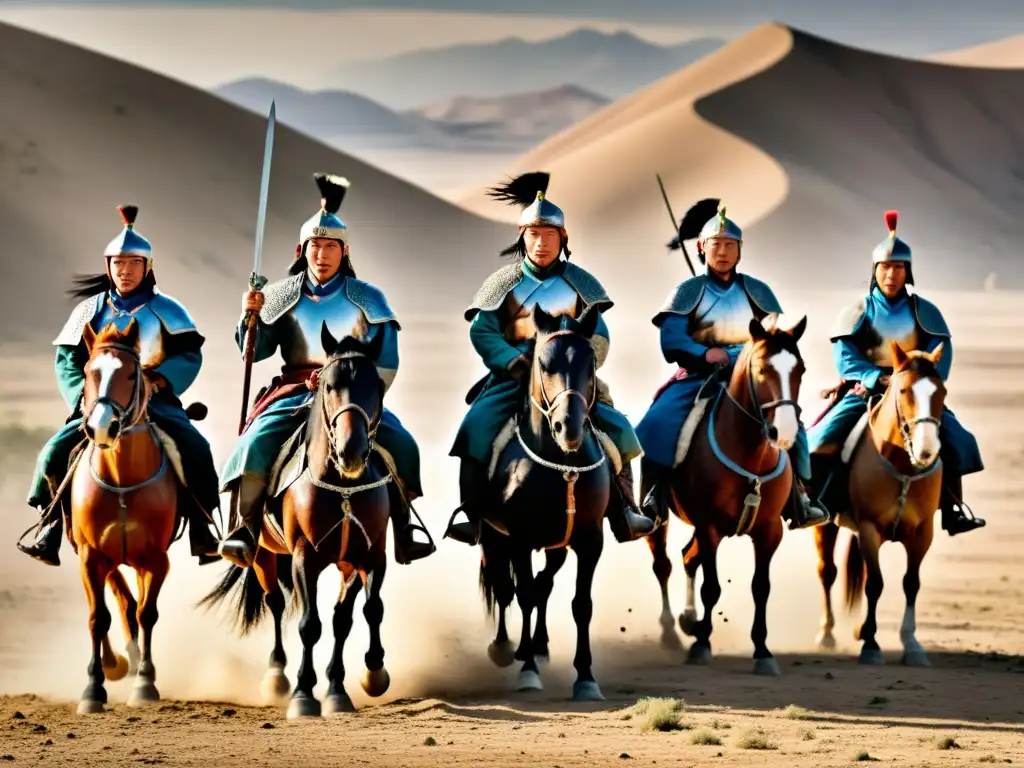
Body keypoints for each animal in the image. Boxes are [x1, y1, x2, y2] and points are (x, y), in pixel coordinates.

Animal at [73, 319, 185, 716]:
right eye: (88, 372)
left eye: (130, 374)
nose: (102, 427)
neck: (122, 480)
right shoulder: (91, 557)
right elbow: (97, 616)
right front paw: (93, 687)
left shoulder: (155, 559)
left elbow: (146, 613)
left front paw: (145, 683)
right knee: (119, 602)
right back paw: (115, 662)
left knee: (132, 605)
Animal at [203, 327, 399, 720]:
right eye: (329, 385)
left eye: (376, 387)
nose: (352, 451)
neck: (342, 484)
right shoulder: (304, 557)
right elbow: (310, 625)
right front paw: (304, 694)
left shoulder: (368, 556)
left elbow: (360, 613)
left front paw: (359, 680)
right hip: (263, 554)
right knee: (275, 602)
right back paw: (277, 677)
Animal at [477, 303, 610, 700]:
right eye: (544, 364)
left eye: (589, 365)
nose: (569, 427)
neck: (562, 466)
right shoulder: (518, 539)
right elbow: (522, 594)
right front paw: (527, 672)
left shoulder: (590, 541)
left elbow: (581, 604)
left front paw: (585, 677)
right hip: (494, 538)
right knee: (506, 588)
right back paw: (507, 648)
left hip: (557, 544)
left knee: (543, 583)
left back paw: (538, 645)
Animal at [638, 315, 806, 675]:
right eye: (761, 370)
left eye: (800, 369)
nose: (784, 432)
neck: (751, 456)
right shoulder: (710, 526)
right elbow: (711, 588)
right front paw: (702, 645)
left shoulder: (769, 530)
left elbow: (761, 587)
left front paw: (762, 651)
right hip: (661, 521)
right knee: (664, 564)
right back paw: (672, 631)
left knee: (688, 557)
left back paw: (689, 620)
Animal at [811, 342, 946, 667]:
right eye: (904, 390)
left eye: (942, 392)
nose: (926, 450)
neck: (903, 467)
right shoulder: (870, 529)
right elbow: (875, 583)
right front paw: (871, 645)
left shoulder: (923, 533)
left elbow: (911, 583)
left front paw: (911, 644)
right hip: (826, 525)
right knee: (827, 571)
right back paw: (827, 634)